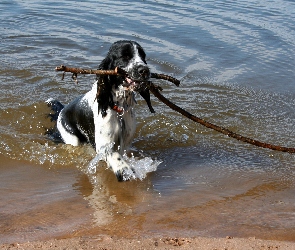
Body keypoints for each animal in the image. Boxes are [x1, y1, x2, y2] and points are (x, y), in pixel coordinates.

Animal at [47, 41, 155, 182]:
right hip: (70, 137)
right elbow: (113, 154)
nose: (145, 70)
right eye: (125, 56)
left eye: (143, 56)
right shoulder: (103, 144)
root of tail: (61, 110)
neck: (119, 108)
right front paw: (124, 169)